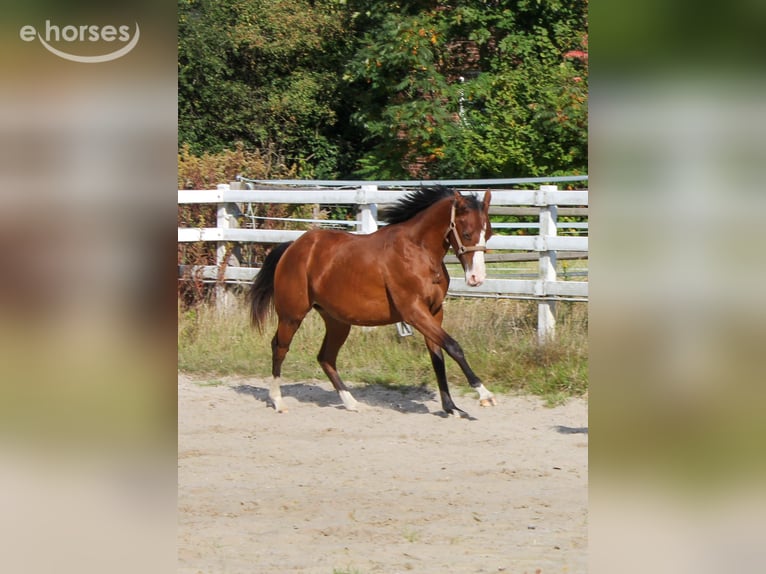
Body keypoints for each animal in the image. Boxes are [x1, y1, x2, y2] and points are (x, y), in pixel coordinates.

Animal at [248, 185, 497, 417]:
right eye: (467, 233)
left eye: (489, 234)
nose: (477, 278)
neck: (418, 252)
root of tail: (292, 246)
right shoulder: (414, 312)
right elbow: (454, 347)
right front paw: (484, 394)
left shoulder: (434, 312)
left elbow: (438, 356)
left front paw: (452, 408)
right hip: (292, 315)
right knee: (279, 347)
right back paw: (278, 401)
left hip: (338, 322)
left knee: (326, 357)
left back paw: (351, 403)